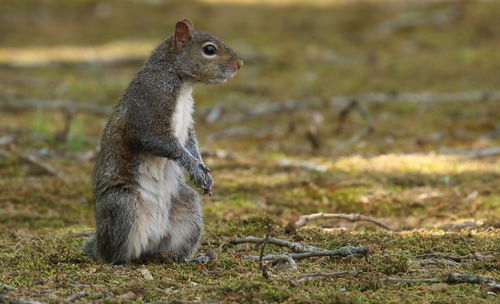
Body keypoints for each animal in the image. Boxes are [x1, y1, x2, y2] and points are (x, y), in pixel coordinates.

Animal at [82, 18, 242, 264]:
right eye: (209, 49)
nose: (239, 63)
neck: (181, 81)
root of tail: (150, 239)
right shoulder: (150, 107)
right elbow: (161, 142)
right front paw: (195, 167)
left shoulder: (186, 126)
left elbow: (190, 142)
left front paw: (202, 168)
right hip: (123, 205)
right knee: (114, 251)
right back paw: (119, 263)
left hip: (188, 208)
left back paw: (190, 259)